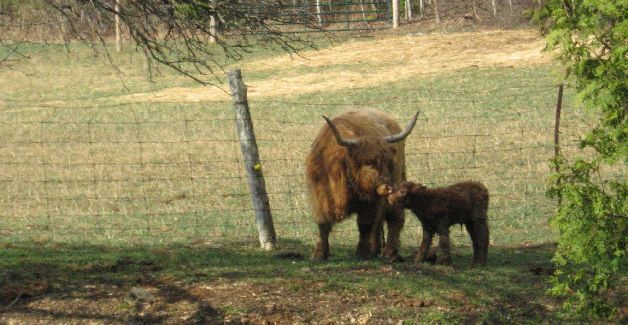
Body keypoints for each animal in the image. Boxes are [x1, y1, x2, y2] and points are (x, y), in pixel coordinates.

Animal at [306, 109, 420, 260]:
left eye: (389, 162)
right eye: (369, 162)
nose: (389, 187)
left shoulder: (370, 202)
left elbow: (365, 224)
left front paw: (362, 253)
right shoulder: (320, 197)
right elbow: (323, 224)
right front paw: (319, 254)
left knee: (395, 217)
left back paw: (389, 252)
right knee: (380, 222)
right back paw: (375, 249)